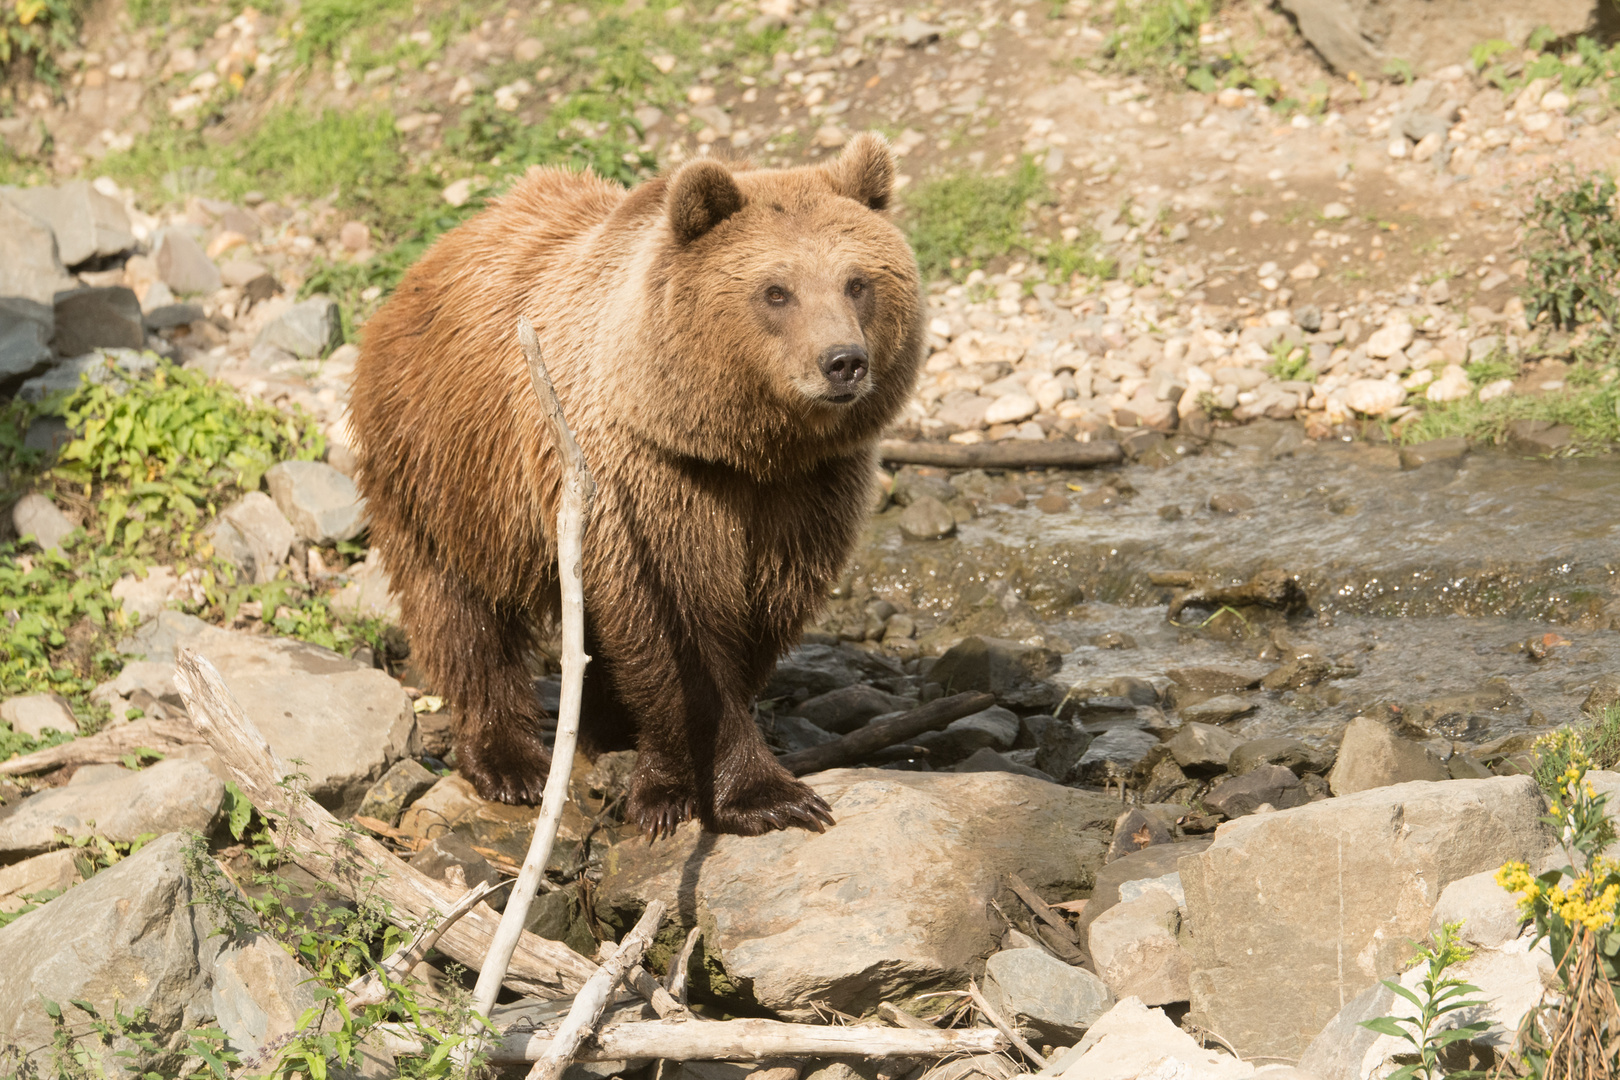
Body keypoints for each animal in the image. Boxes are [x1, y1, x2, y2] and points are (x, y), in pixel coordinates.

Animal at [346, 135, 920, 841]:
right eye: (776, 291)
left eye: (858, 282)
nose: (843, 361)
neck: (745, 448)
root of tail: (429, 258)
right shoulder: (644, 480)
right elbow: (678, 631)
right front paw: (745, 794)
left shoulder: (804, 496)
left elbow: (757, 619)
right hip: (441, 465)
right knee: (459, 609)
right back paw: (512, 762)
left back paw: (602, 729)